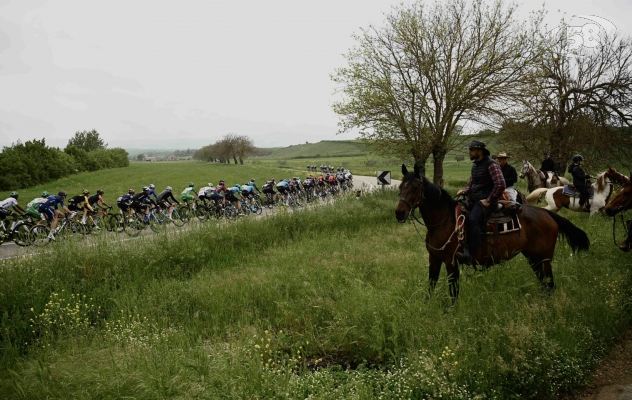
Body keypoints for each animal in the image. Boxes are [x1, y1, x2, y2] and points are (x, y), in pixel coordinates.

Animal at [396, 163, 592, 300]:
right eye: (400, 187)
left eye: (415, 187)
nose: (399, 213)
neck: (444, 220)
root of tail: (547, 213)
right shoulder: (434, 259)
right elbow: (431, 285)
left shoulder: (451, 262)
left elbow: (453, 290)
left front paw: (448, 314)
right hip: (533, 257)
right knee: (544, 283)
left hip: (544, 259)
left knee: (549, 284)